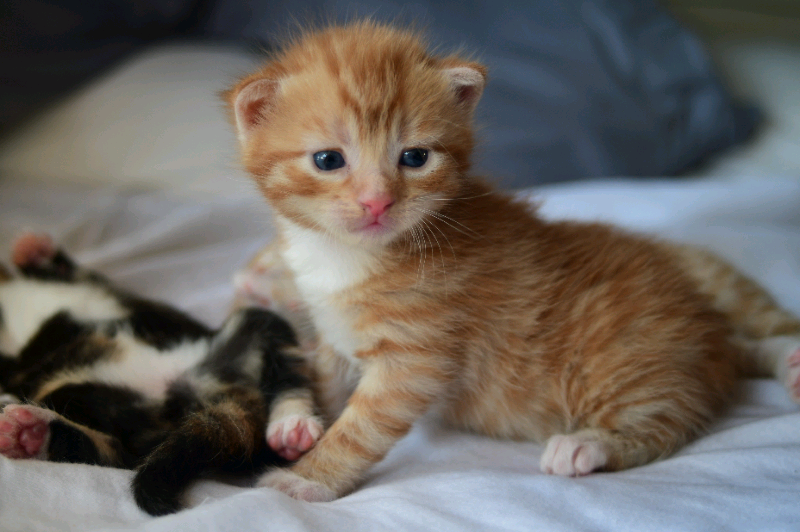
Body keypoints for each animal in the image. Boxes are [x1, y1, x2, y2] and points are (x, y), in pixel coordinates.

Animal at [1, 234, 324, 516]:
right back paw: (28, 432)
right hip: (115, 421)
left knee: (288, 369)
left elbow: (79, 272)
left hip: (247, 327)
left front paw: (32, 249)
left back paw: (292, 424)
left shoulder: (99, 285)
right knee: (106, 453)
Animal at [223, 21, 800, 502]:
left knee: (669, 418)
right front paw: (295, 425)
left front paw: (308, 478)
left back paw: (588, 445)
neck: (346, 256)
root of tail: (707, 327)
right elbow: (320, 377)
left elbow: (362, 427)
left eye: (415, 158)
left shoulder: (416, 359)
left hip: (633, 362)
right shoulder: (335, 336)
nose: (377, 202)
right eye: (328, 160)